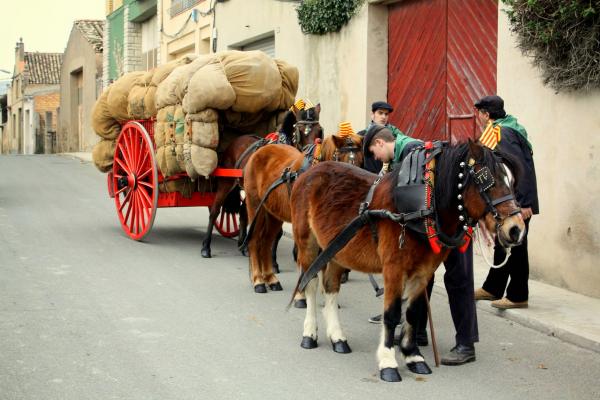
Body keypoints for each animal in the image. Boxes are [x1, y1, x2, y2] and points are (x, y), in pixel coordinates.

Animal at [200, 104, 324, 258]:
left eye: (319, 131)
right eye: (301, 131)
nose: (313, 159)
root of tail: (237, 140)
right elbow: (276, 230)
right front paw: (272, 258)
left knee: (244, 212)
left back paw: (243, 245)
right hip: (226, 183)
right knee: (215, 211)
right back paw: (206, 246)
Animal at [241, 130, 364, 294]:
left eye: (361, 161)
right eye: (341, 160)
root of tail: (258, 151)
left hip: (273, 213)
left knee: (266, 242)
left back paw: (271, 279)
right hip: (255, 206)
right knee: (254, 240)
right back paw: (258, 281)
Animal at [290, 140, 524, 382]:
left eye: (511, 181)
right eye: (486, 179)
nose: (516, 229)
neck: (422, 206)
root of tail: (307, 173)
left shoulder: (423, 272)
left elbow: (412, 313)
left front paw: (413, 357)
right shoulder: (394, 268)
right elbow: (392, 314)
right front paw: (388, 362)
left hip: (337, 249)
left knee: (331, 288)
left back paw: (338, 338)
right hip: (308, 243)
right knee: (310, 284)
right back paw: (309, 333)